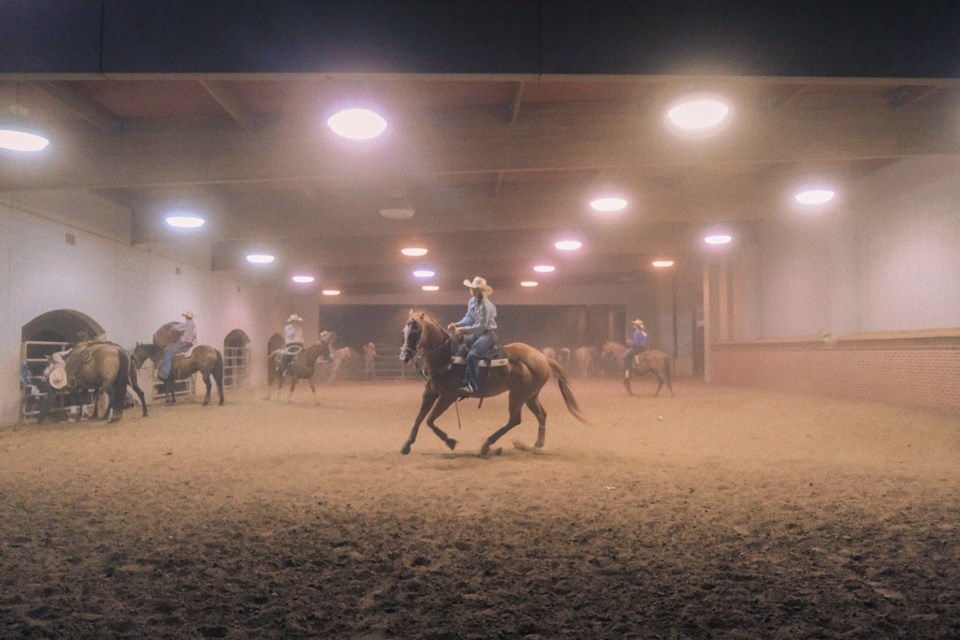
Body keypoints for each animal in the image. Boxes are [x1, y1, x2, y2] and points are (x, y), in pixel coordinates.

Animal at [396, 308, 584, 456]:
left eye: (416, 331)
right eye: (404, 331)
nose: (404, 357)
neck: (445, 356)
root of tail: (543, 357)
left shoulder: (447, 396)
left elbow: (429, 420)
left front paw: (450, 441)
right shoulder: (430, 393)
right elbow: (419, 418)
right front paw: (406, 445)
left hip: (517, 395)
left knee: (515, 420)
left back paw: (487, 445)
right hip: (530, 396)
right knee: (541, 415)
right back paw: (536, 445)